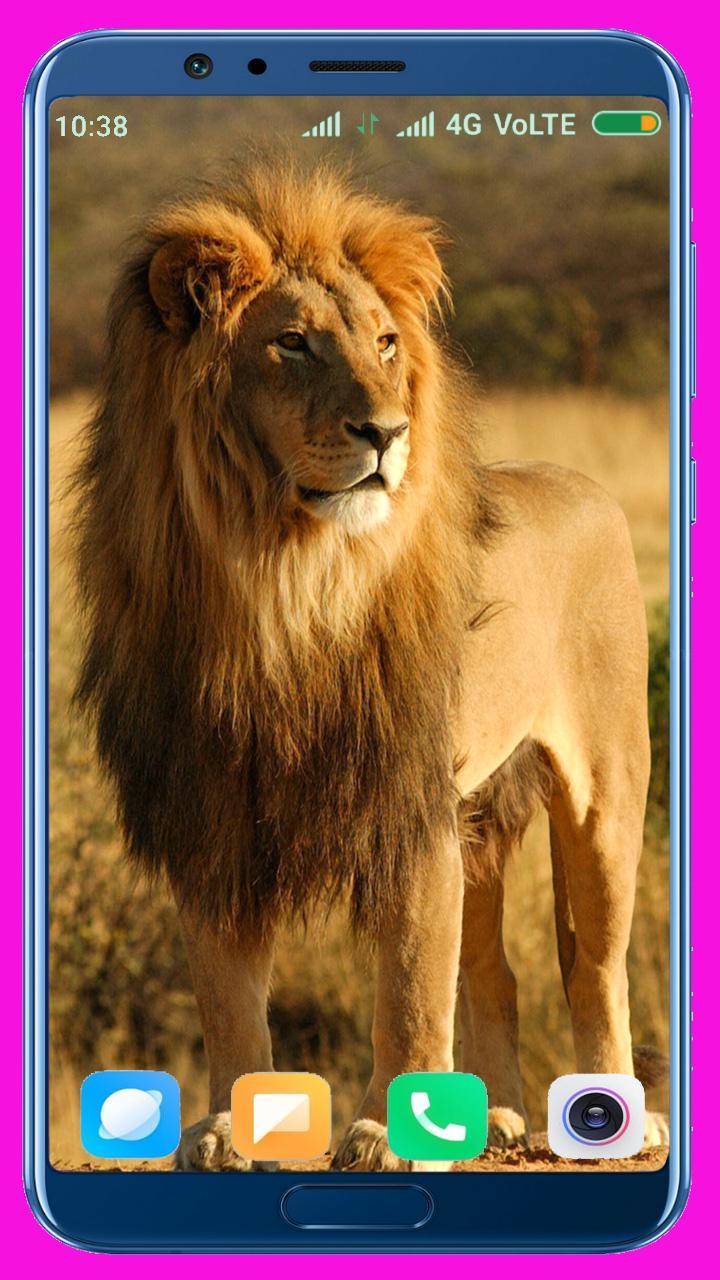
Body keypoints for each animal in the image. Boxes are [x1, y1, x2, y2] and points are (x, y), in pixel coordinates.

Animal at [73, 159, 667, 1172]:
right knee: (497, 973)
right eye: (293, 344)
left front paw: (393, 1135)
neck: (280, 583)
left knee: (593, 964)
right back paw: (496, 1120)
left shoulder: (407, 803)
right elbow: (228, 997)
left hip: (606, 790)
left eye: (387, 343)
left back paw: (612, 1119)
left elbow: (410, 988)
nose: (387, 433)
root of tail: (579, 481)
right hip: (481, 819)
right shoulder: (211, 808)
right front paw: (230, 1126)